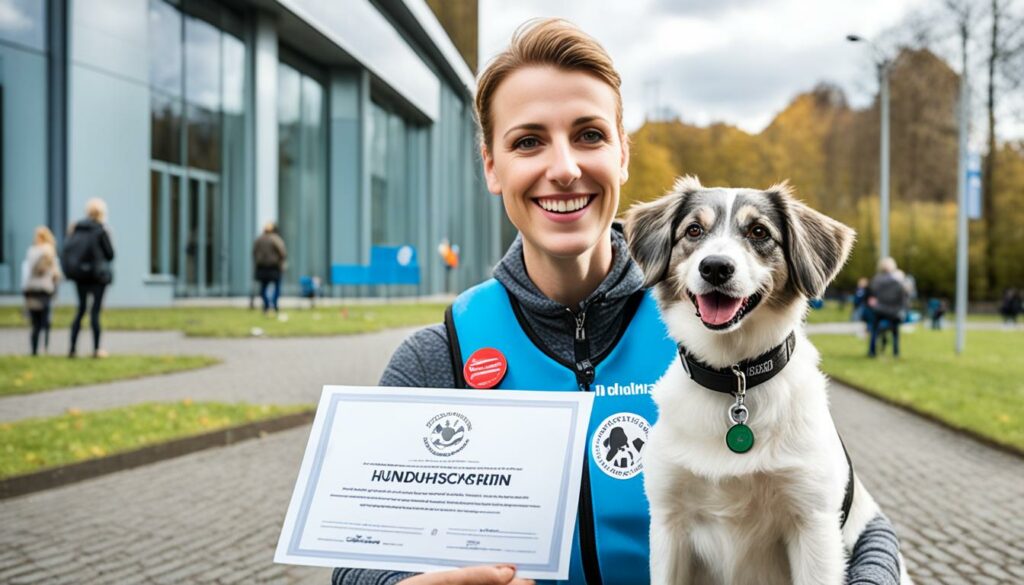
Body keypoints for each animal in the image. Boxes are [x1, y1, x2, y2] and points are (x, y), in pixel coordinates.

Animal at [622, 177, 913, 585]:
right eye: (693, 230)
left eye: (759, 231)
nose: (715, 267)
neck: (736, 379)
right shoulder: (668, 522)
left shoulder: (814, 526)